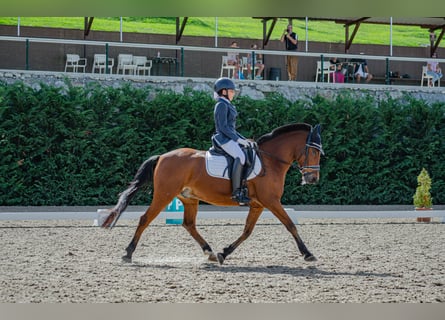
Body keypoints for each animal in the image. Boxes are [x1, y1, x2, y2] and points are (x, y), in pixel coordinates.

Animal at [100, 122, 322, 262]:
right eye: (313, 150)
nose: (312, 179)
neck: (270, 160)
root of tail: (162, 156)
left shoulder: (259, 204)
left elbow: (247, 231)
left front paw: (225, 252)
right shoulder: (271, 201)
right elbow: (290, 225)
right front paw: (308, 254)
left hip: (188, 199)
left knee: (189, 224)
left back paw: (210, 252)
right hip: (164, 195)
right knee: (145, 219)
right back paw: (128, 253)